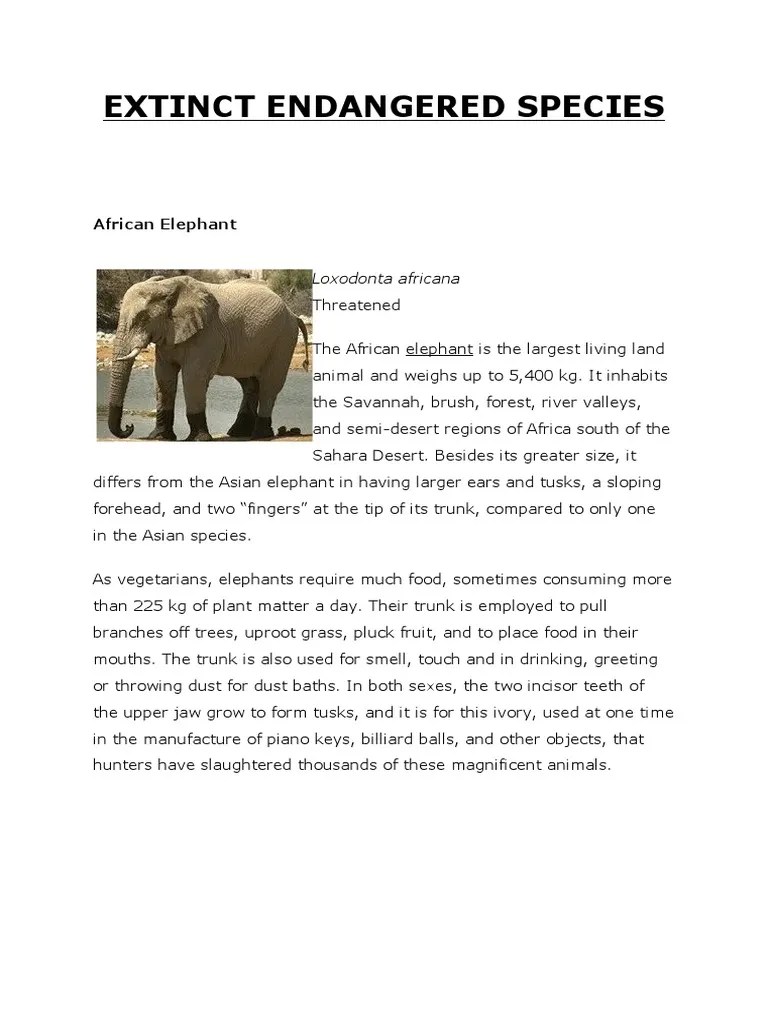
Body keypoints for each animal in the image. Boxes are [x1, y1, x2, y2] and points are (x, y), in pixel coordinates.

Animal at [108, 275, 309, 441]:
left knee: (269, 385)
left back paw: (260, 435)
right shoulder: (168, 335)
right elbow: (163, 377)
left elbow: (193, 377)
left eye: (142, 318)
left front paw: (198, 439)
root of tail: (293, 314)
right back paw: (238, 432)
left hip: (283, 339)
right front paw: (159, 437)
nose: (129, 427)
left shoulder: (207, 333)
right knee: (250, 383)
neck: (167, 286)